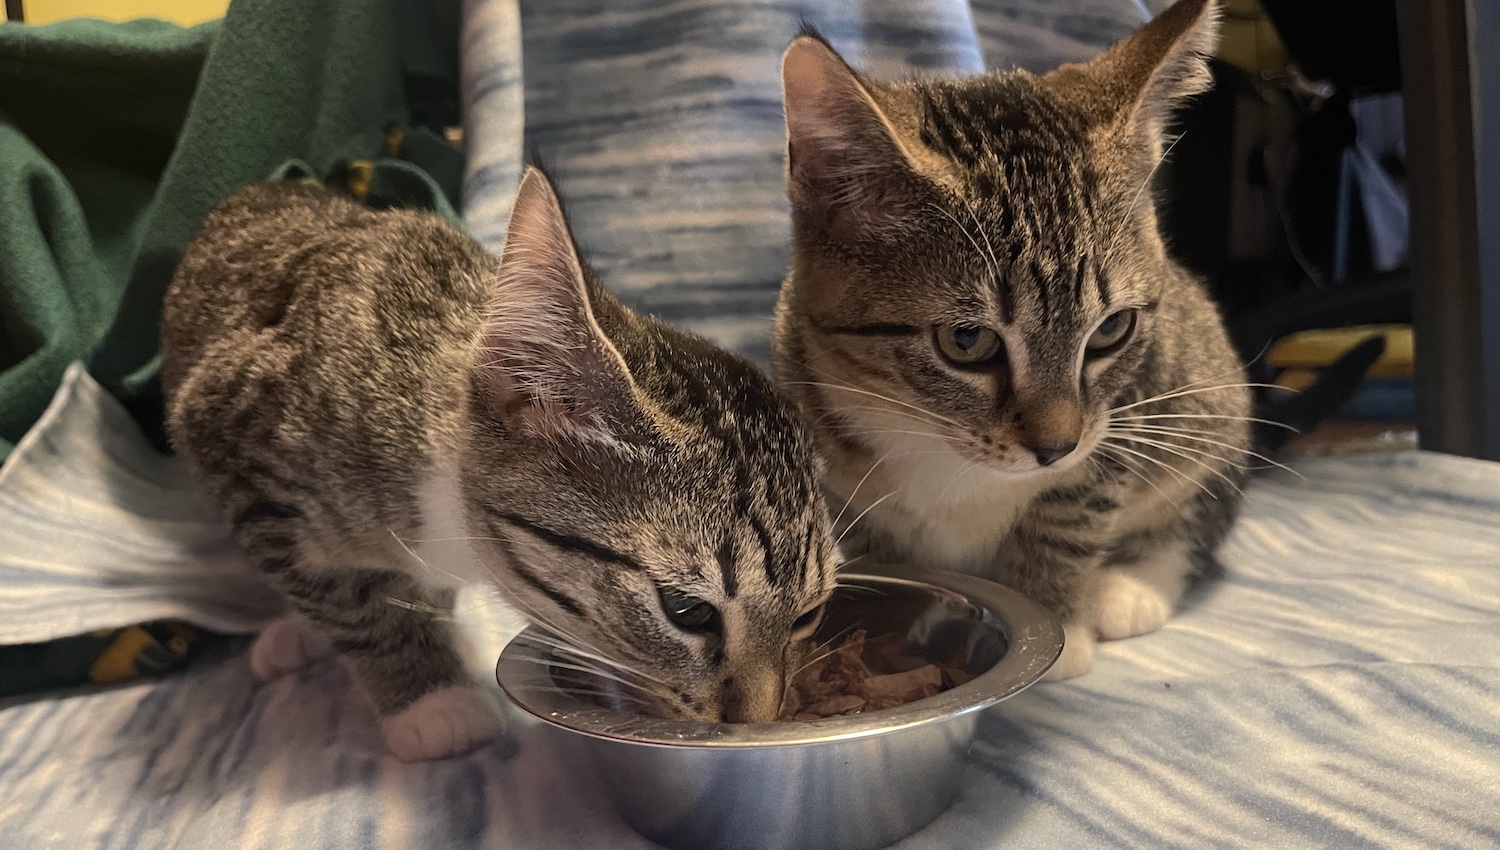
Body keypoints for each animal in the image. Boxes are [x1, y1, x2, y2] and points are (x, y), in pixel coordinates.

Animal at [161, 167, 836, 761]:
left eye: (808, 616)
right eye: (686, 611)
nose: (756, 719)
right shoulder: (226, 435)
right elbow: (349, 601)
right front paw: (429, 700)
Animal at [772, 0, 1250, 679]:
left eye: (1111, 329)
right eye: (967, 340)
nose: (1056, 447)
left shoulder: (1123, 416)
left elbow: (1071, 512)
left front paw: (1058, 628)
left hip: (1209, 396)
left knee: (1200, 506)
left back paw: (1130, 587)